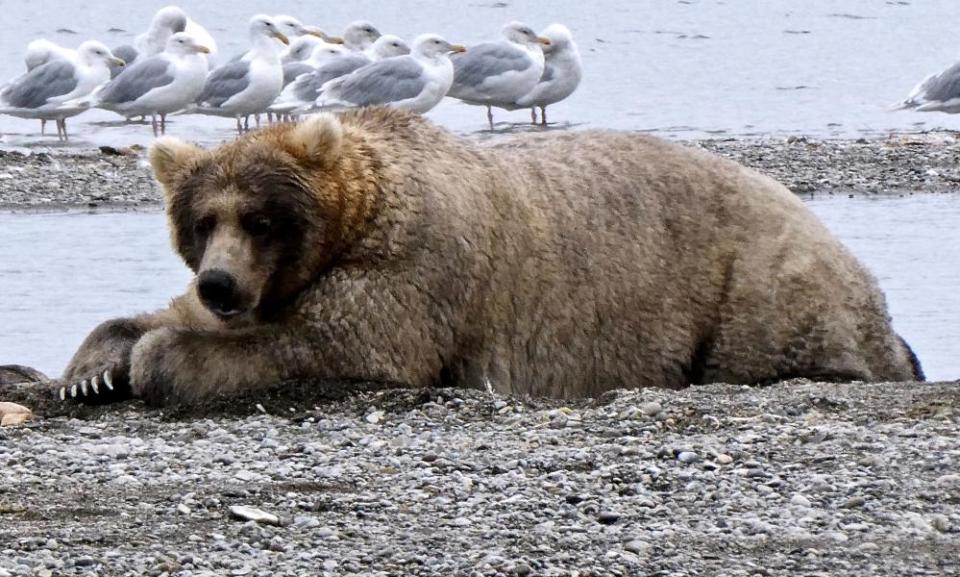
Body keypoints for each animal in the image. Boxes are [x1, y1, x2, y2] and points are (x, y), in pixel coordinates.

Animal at [60, 107, 924, 404]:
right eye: (204, 219)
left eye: (264, 218)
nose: (221, 284)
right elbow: (149, 315)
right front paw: (95, 366)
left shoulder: (411, 270)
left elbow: (339, 343)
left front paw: (160, 356)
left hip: (753, 278)